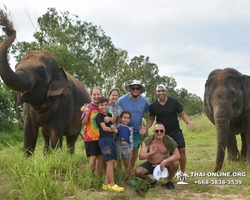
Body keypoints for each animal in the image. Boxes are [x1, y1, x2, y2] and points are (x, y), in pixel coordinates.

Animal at [0, 8, 91, 155]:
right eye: (16, 67)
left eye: (41, 73)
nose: (10, 29)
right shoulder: (28, 110)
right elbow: (29, 134)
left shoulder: (64, 102)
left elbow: (56, 134)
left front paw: (55, 157)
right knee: (45, 135)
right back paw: (46, 154)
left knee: (71, 138)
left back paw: (69, 156)